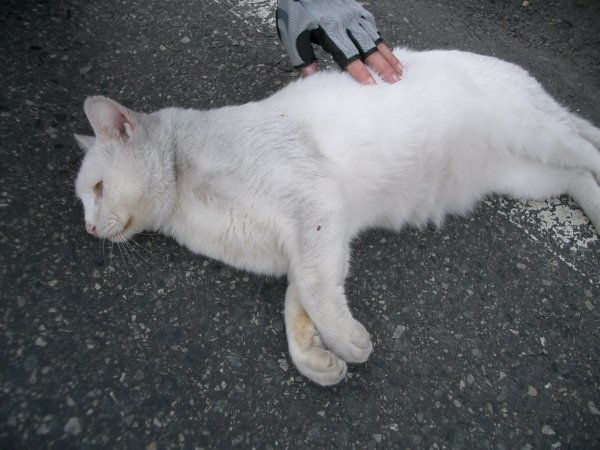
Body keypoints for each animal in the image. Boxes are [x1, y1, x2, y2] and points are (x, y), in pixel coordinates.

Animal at [74, 49, 600, 386]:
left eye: (97, 190)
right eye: (83, 201)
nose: (88, 228)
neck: (185, 203)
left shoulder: (316, 203)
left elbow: (315, 291)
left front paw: (346, 341)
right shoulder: (317, 237)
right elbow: (302, 300)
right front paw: (316, 358)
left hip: (539, 135)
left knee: (589, 151)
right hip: (527, 176)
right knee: (578, 177)